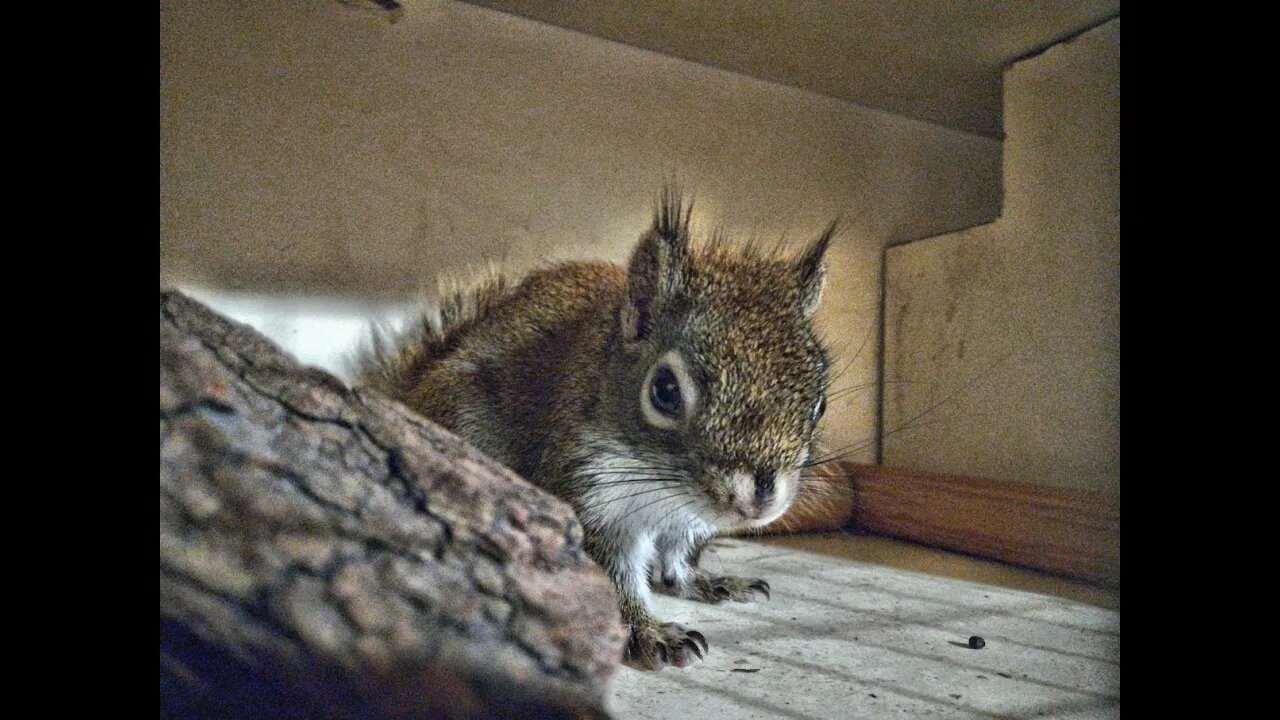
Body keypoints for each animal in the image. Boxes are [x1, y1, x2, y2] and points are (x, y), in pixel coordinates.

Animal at [353, 189, 829, 666]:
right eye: (665, 391)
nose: (760, 500)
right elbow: (610, 576)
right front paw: (647, 632)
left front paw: (705, 581)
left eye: (819, 404)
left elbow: (677, 559)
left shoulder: (684, 522)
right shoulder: (588, 493)